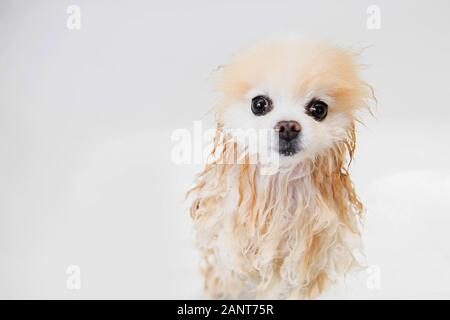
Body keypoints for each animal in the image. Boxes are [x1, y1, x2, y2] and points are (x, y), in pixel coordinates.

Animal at [186, 38, 372, 300]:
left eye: (318, 109)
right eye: (259, 104)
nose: (288, 126)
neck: (279, 185)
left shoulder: (303, 265)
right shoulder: (228, 252)